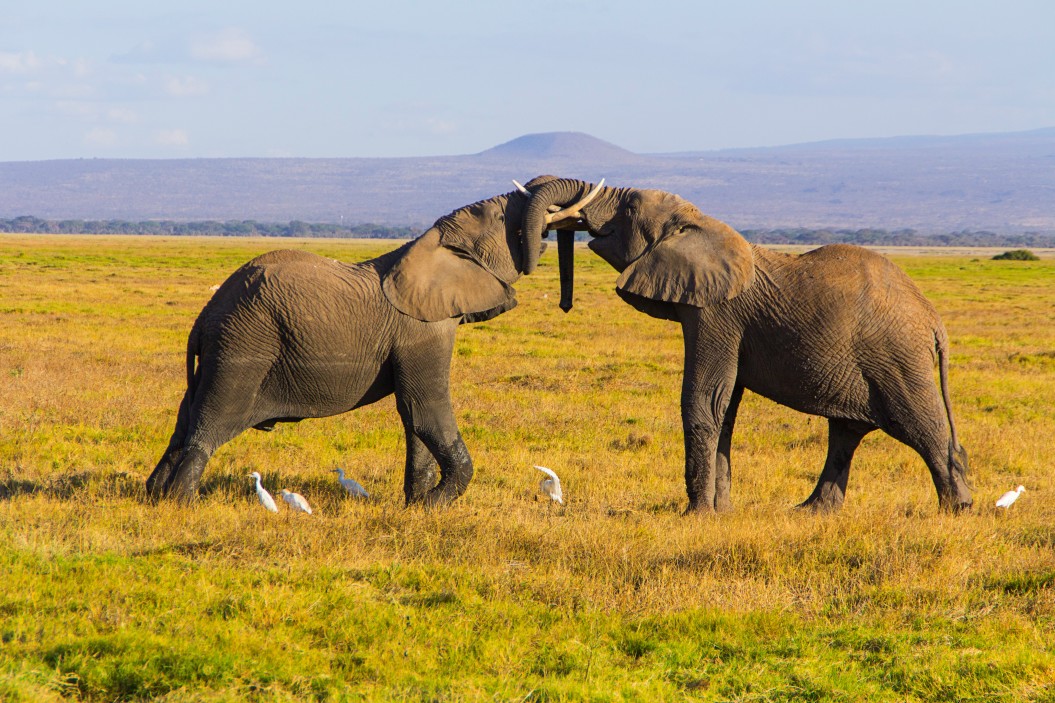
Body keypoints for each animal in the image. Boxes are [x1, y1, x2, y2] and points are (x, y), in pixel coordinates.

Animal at [146, 175, 595, 504]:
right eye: (502, 216)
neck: (430, 245)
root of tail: (204, 317)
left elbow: (412, 416)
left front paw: (414, 504)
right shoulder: (421, 331)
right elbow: (425, 407)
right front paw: (435, 504)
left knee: (185, 421)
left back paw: (154, 495)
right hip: (243, 346)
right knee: (212, 421)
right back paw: (182, 502)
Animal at [519, 178, 970, 513]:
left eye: (629, 208)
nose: (539, 243)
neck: (699, 222)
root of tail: (935, 321)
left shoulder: (716, 313)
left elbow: (704, 399)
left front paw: (697, 515)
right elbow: (726, 406)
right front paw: (722, 513)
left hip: (896, 359)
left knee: (921, 425)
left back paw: (955, 511)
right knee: (846, 432)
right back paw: (809, 513)